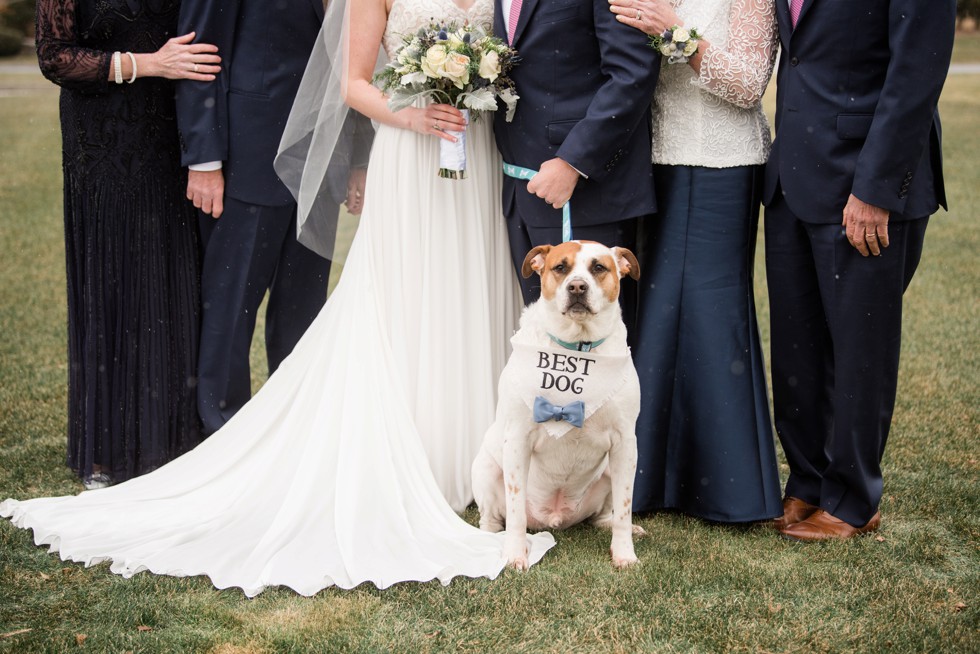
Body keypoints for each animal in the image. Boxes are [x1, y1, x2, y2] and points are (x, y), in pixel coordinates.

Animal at [472, 241, 644, 568]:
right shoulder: (517, 439)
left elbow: (625, 509)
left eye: (599, 267)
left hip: (608, 471)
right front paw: (515, 554)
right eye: (560, 268)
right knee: (492, 519)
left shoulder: (625, 443)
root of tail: (553, 518)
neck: (578, 349)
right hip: (485, 468)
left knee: (605, 515)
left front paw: (624, 554)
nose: (577, 287)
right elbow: (515, 511)